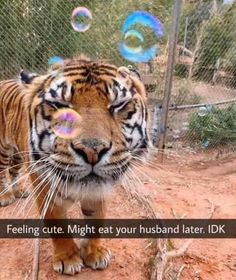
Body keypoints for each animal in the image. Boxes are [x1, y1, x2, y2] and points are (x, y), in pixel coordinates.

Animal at [0, 55, 150, 274]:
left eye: (118, 105)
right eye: (59, 105)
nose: (92, 150)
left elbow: (97, 219)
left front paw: (95, 253)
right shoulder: (44, 185)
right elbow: (57, 223)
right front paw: (68, 259)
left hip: (18, 155)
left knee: (14, 170)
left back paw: (19, 191)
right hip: (3, 148)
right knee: (2, 171)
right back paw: (5, 196)